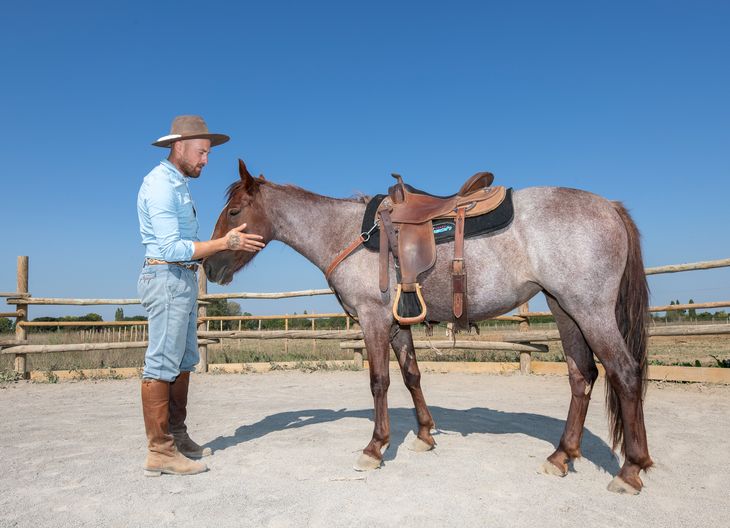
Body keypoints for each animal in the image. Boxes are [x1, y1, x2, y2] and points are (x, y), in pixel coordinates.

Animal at [202, 160, 652, 496]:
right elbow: (412, 375)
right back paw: (561, 456)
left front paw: (375, 448)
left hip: (589, 309)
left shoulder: (373, 318)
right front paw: (424, 435)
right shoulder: (398, 323)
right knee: (583, 375)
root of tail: (610, 206)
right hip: (564, 309)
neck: (347, 233)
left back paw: (630, 470)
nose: (209, 265)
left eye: (235, 212)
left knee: (625, 373)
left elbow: (380, 381)